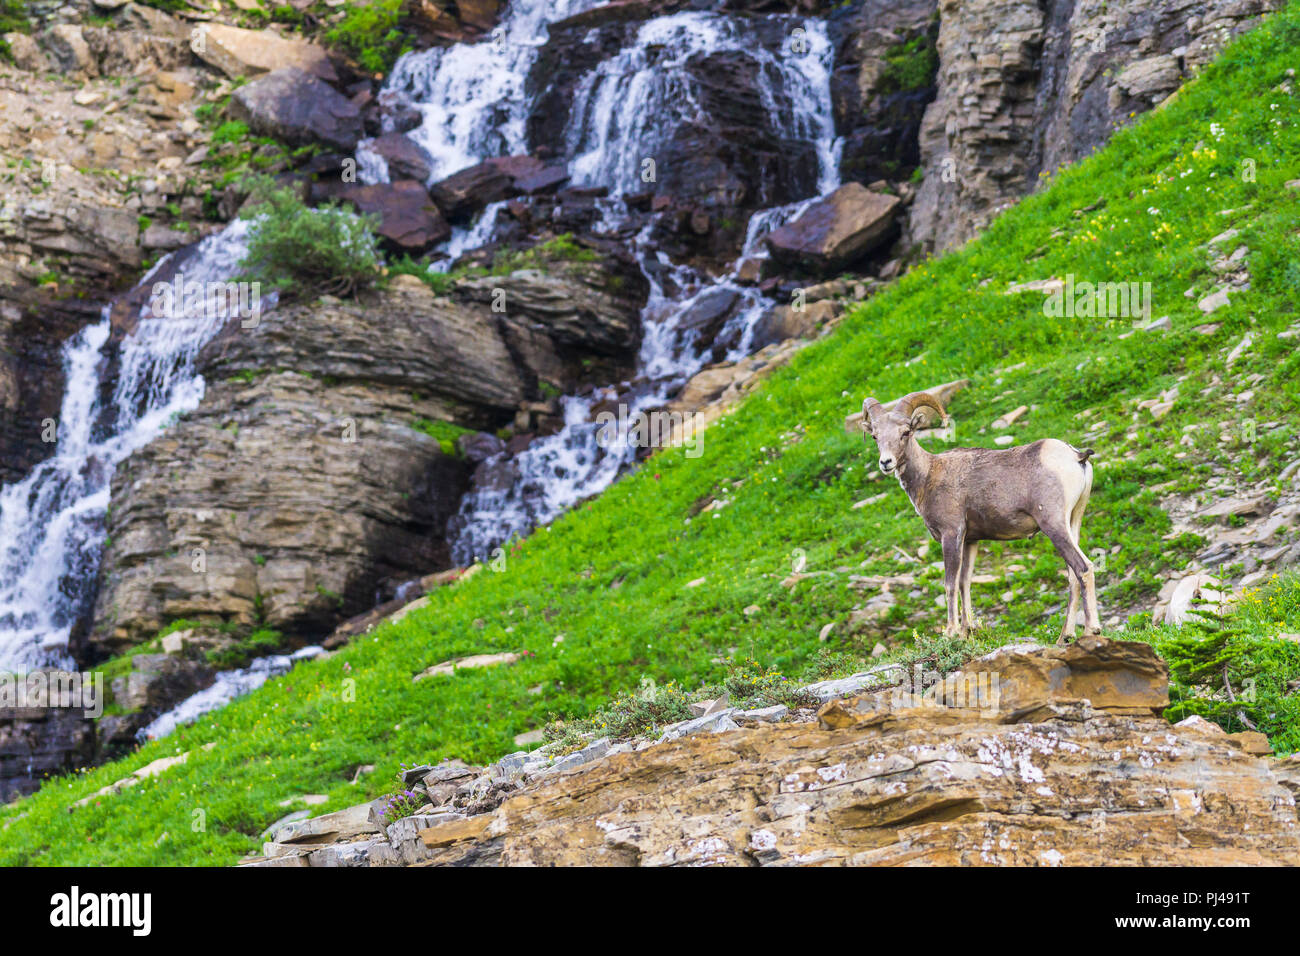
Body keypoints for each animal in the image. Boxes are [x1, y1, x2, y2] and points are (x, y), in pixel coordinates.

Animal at [861, 390, 1100, 643]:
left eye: (905, 432)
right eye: (875, 436)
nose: (885, 463)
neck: (929, 475)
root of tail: (1077, 457)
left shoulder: (951, 534)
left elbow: (950, 583)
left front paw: (952, 632)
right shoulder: (970, 541)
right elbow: (965, 582)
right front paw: (968, 631)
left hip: (1053, 524)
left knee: (1083, 568)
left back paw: (1091, 630)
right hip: (1073, 521)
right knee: (1072, 575)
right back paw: (1064, 637)